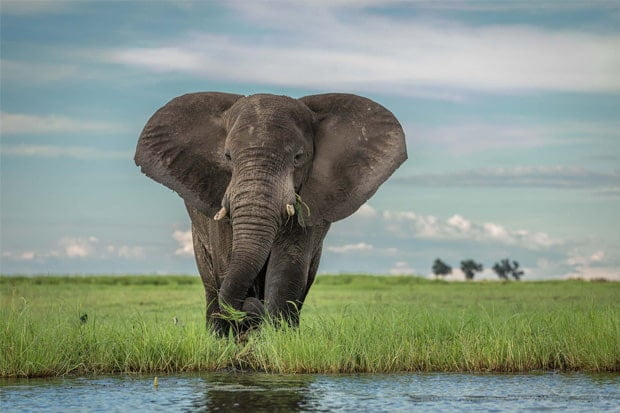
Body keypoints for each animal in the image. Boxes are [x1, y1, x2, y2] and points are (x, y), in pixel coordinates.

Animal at [134, 91, 406, 334]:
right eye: (227, 156)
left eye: (298, 157)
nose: (251, 309)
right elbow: (226, 258)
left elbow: (288, 266)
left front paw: (276, 340)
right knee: (211, 284)